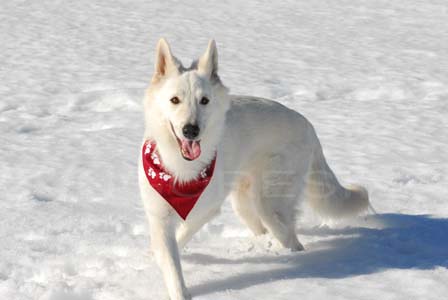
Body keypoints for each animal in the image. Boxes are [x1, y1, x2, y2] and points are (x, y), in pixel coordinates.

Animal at [138, 38, 370, 298]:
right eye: (174, 100)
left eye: (204, 101)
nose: (191, 130)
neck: (181, 169)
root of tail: (308, 125)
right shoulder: (159, 215)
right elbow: (169, 257)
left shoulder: (206, 210)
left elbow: (178, 243)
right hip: (243, 203)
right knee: (266, 229)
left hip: (267, 201)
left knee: (290, 237)